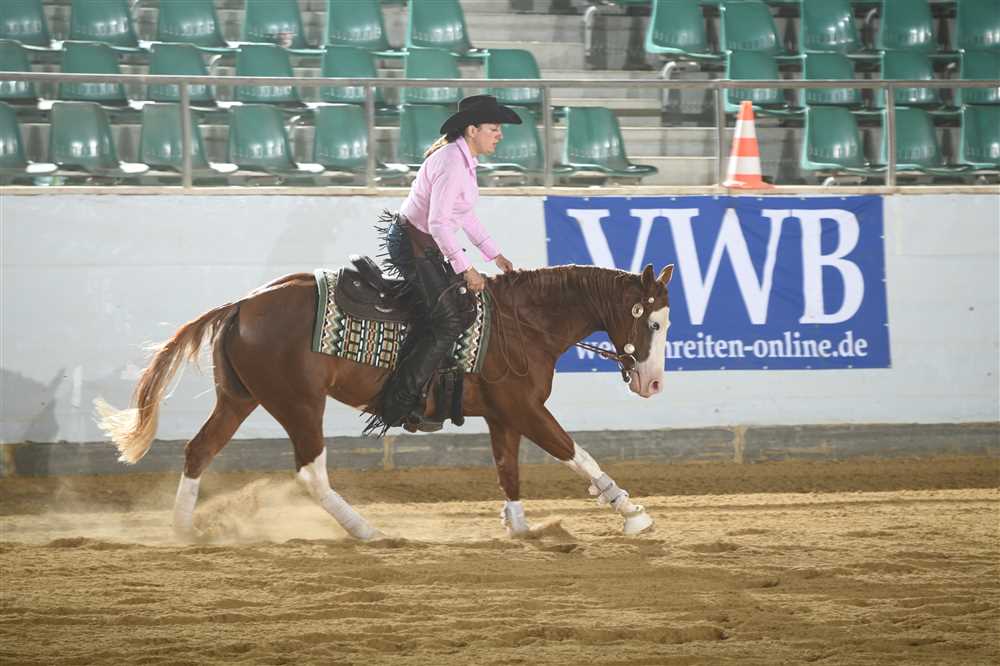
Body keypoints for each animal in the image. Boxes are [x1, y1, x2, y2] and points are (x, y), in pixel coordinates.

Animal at [95, 262, 674, 540]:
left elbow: (508, 471)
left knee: (199, 451)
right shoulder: (526, 409)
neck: (523, 322)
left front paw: (521, 529)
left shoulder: (504, 416)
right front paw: (632, 513)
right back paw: (368, 531)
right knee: (310, 474)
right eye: (653, 322)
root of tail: (241, 304)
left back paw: (184, 530)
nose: (652, 385)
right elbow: (576, 453)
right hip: (299, 404)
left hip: (239, 399)